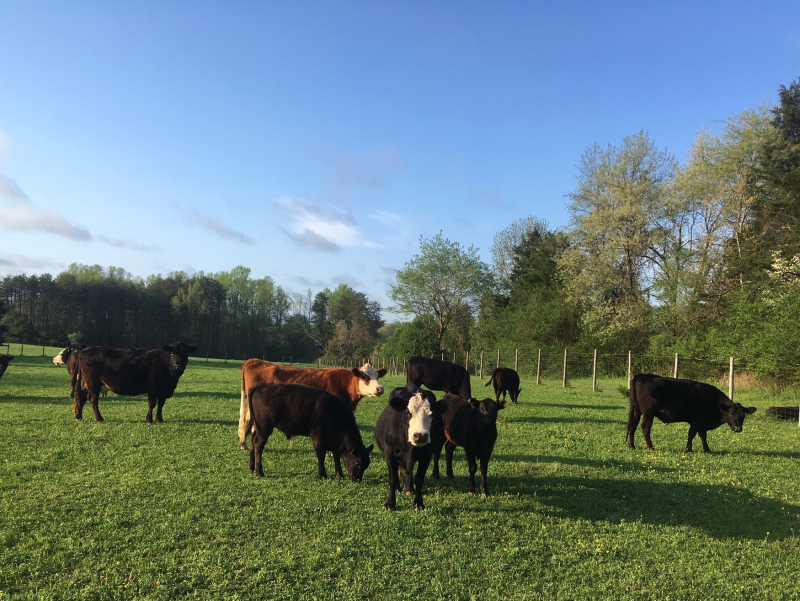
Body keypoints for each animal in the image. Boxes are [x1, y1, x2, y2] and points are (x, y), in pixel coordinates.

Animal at [238, 360, 387, 450]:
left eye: (377, 376)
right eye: (365, 377)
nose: (380, 388)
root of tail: (255, 361)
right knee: (247, 419)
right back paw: (245, 444)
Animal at [627, 373, 757, 453]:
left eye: (743, 416)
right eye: (730, 414)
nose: (737, 428)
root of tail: (642, 375)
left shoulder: (702, 423)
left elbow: (703, 436)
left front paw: (707, 449)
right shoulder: (696, 421)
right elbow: (692, 434)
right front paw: (688, 449)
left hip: (637, 410)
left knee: (633, 425)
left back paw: (632, 445)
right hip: (648, 412)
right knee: (645, 427)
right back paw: (650, 446)